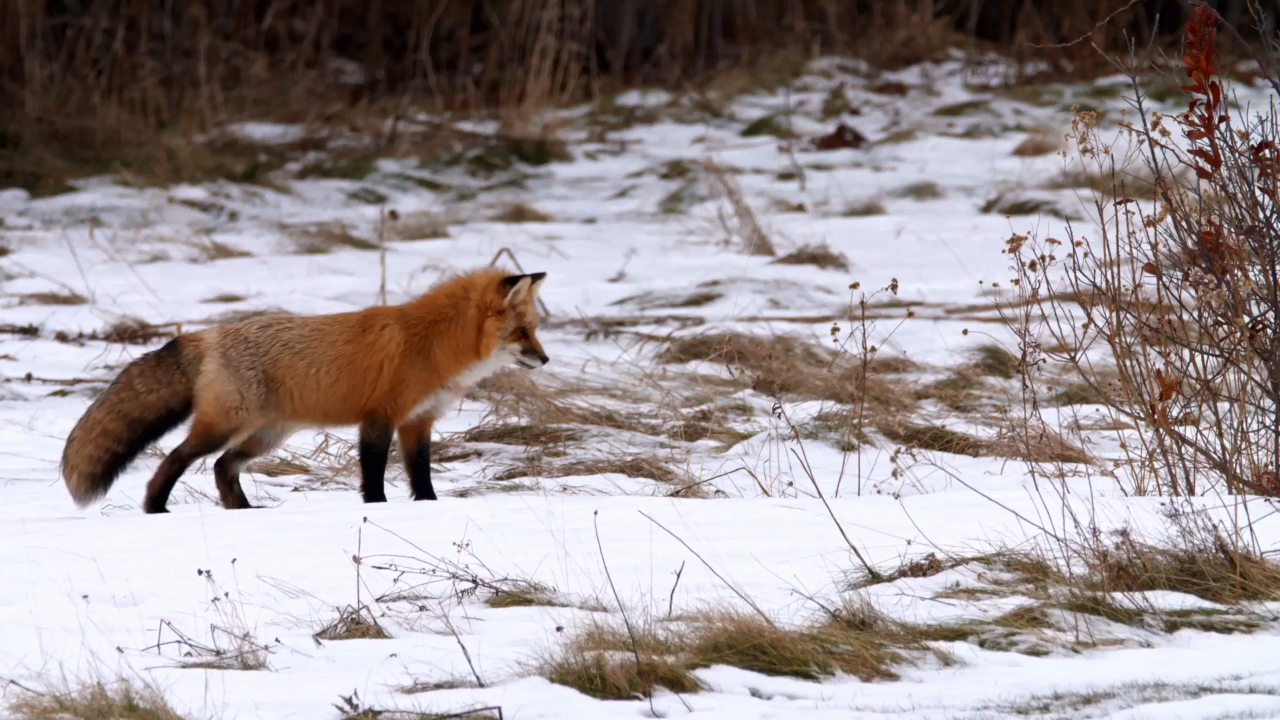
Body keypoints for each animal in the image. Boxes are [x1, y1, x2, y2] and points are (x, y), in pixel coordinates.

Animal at [60, 267, 550, 509]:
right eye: (523, 332)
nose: (545, 360)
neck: (433, 344)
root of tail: (211, 334)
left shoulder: (418, 422)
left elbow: (421, 476)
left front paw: (427, 510)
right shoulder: (380, 417)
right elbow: (374, 473)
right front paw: (377, 509)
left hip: (265, 437)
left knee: (222, 467)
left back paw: (243, 512)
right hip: (224, 427)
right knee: (176, 460)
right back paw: (155, 508)